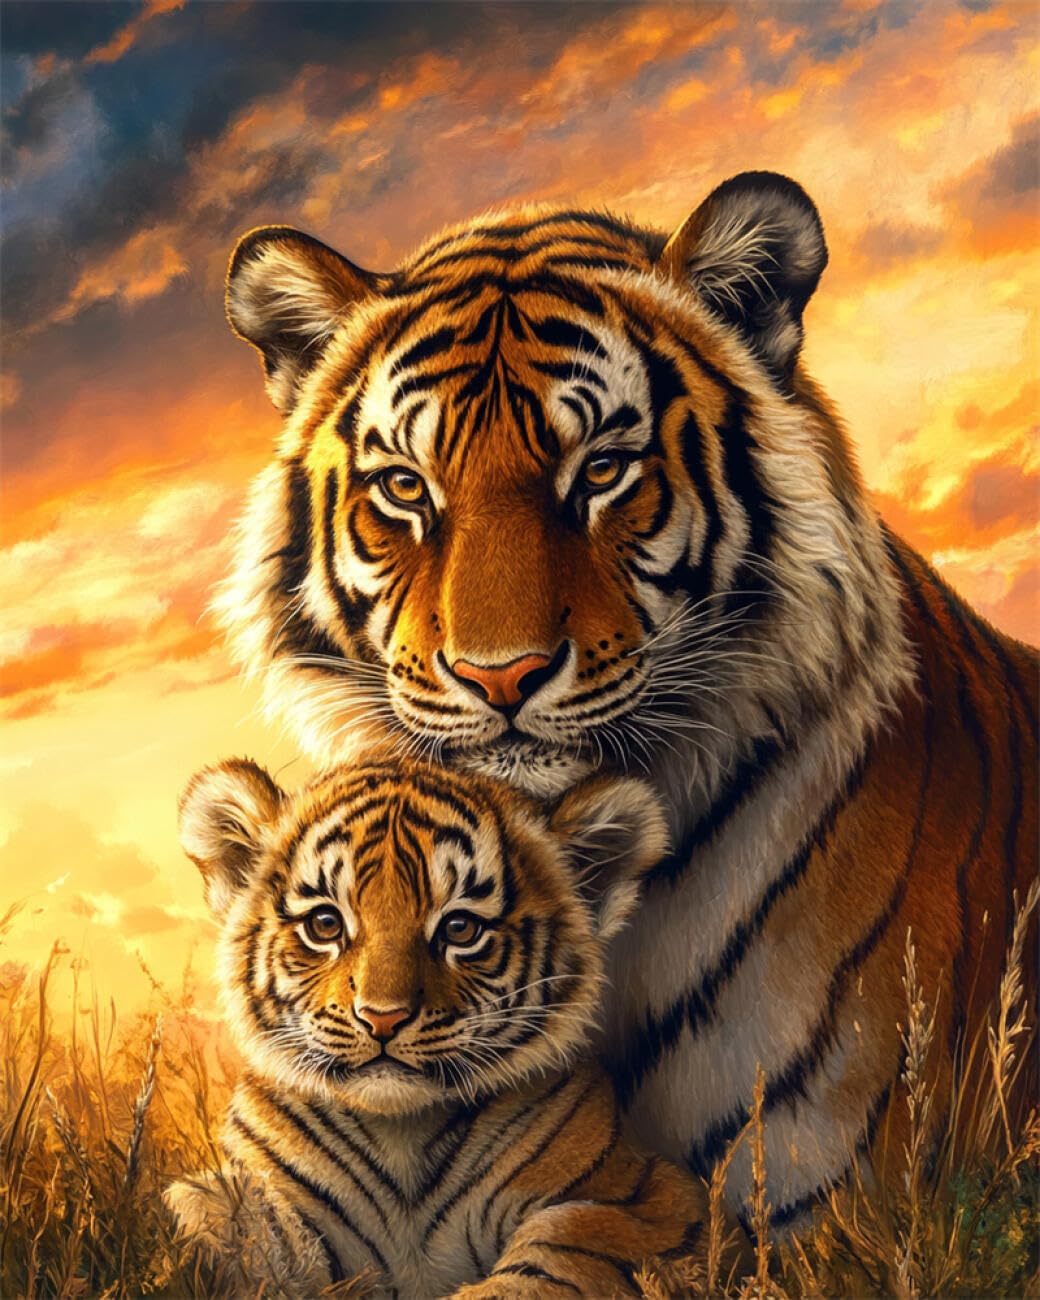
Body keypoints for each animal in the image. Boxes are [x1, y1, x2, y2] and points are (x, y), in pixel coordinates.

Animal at [165, 756, 709, 1298]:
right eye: (325, 924)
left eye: (460, 928)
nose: (382, 1016)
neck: (401, 1136)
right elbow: (237, 1219)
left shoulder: (656, 1199)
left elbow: (563, 1241)